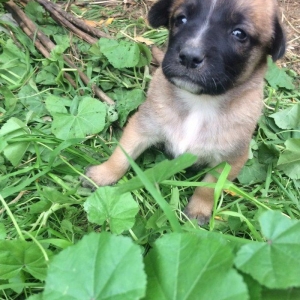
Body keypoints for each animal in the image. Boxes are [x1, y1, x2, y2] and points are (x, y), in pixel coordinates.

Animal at [85, 0, 286, 225]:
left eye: (239, 33)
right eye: (181, 19)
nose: (189, 56)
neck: (199, 103)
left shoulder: (231, 159)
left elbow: (209, 188)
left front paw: (198, 211)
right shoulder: (141, 126)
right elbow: (121, 156)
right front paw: (102, 174)